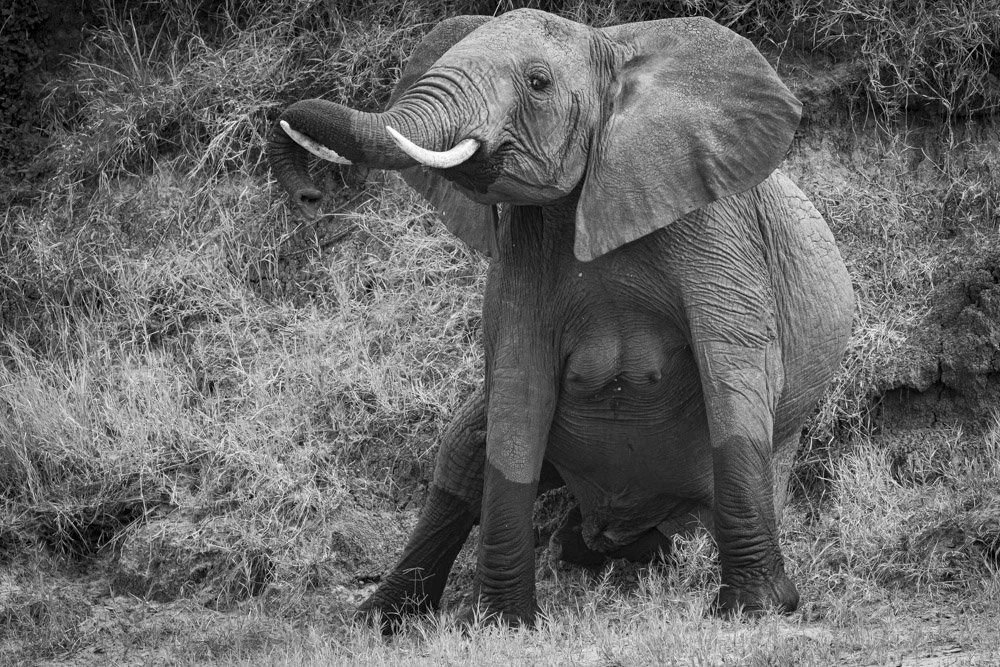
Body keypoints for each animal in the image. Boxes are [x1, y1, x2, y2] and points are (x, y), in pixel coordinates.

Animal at [268, 8, 854, 629]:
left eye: (539, 82)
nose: (309, 198)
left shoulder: (719, 231)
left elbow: (734, 371)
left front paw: (756, 611)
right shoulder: (523, 247)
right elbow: (518, 390)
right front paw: (503, 626)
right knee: (461, 455)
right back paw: (379, 620)